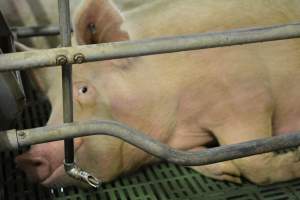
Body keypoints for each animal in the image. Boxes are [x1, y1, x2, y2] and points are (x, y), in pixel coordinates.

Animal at [14, 0, 300, 188]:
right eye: (51, 105)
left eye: (84, 89)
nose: (27, 158)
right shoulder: (178, 143)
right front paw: (229, 174)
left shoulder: (248, 97)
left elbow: (254, 162)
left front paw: (294, 162)